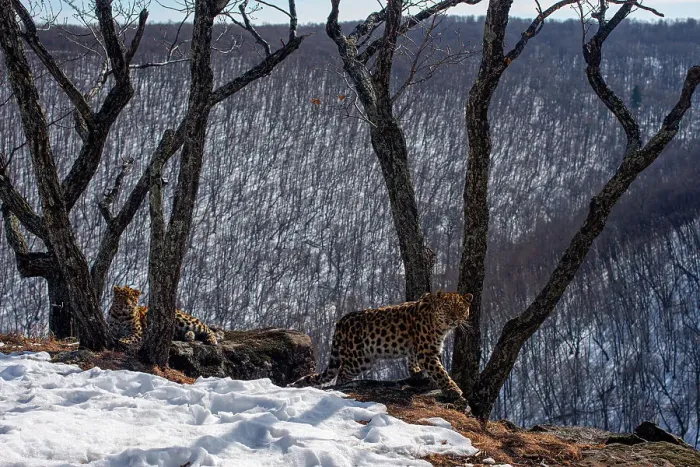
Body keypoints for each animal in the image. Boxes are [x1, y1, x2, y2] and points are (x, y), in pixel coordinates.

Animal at [290, 291, 473, 402]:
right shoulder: (427, 352)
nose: (454, 318)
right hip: (359, 359)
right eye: (447, 308)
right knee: (341, 374)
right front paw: (453, 389)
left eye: (460, 308)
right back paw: (344, 387)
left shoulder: (419, 348)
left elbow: (413, 359)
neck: (440, 326)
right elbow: (440, 371)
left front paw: (416, 371)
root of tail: (340, 321)